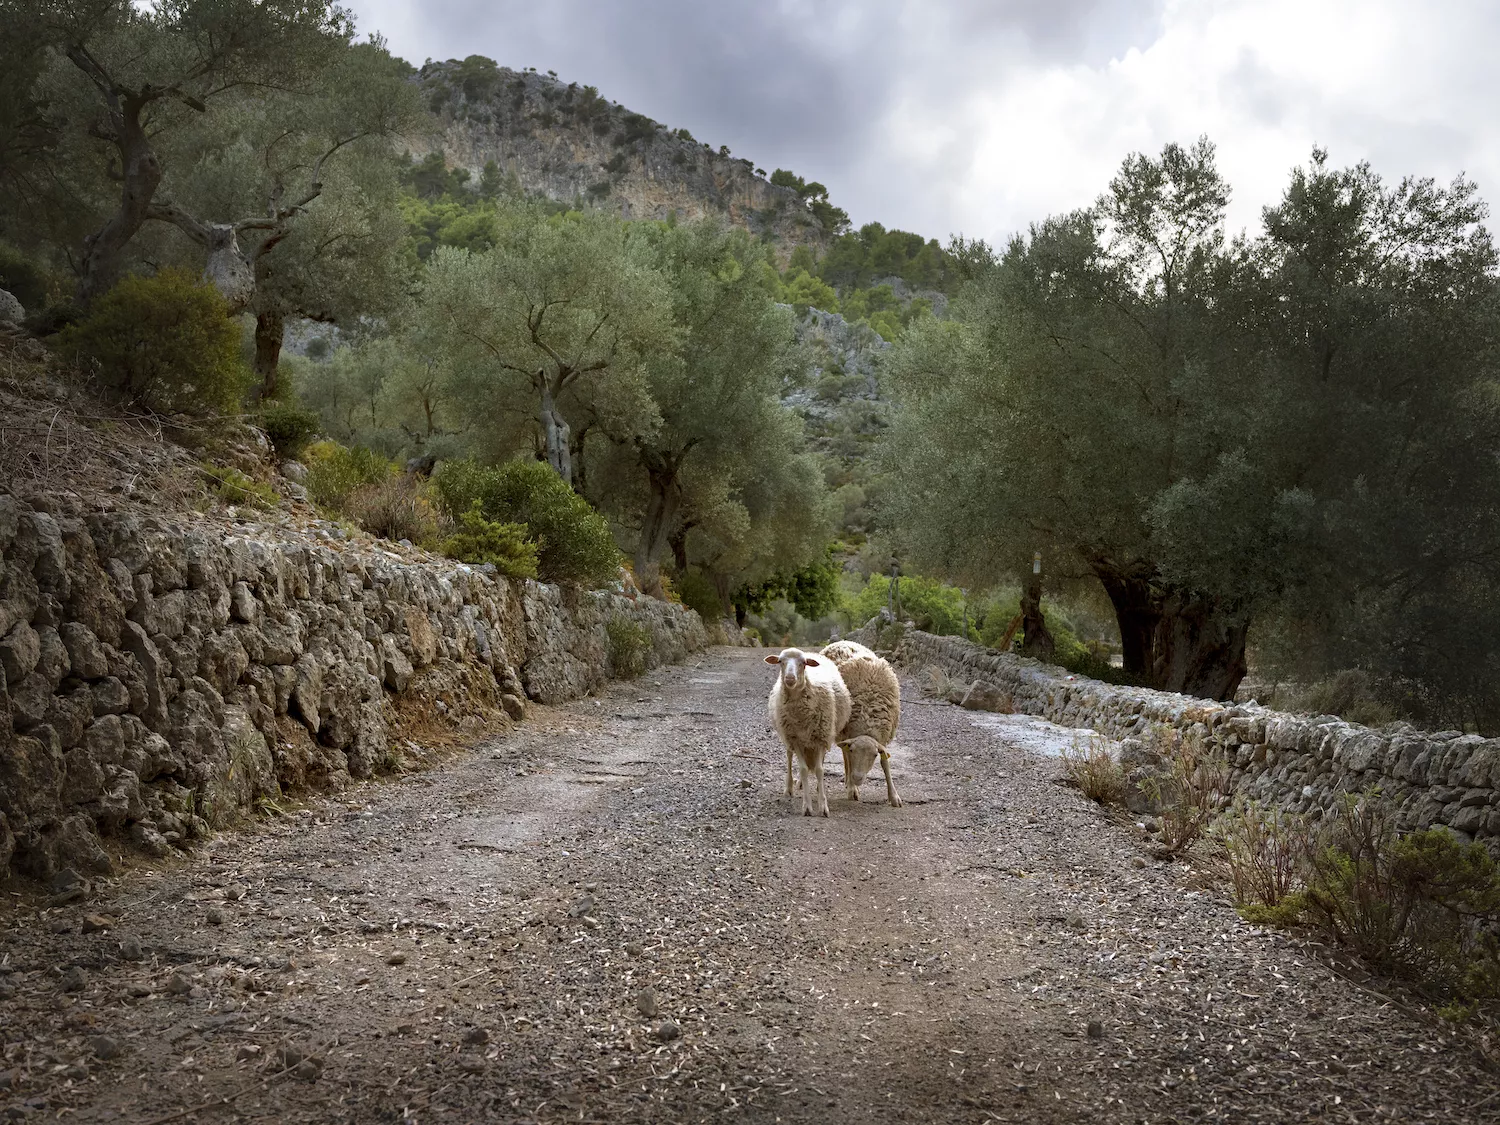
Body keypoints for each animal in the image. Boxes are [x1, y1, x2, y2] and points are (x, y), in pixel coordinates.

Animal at [768, 651, 852, 822]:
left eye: (804, 663)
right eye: (780, 661)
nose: (790, 678)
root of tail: (812, 653)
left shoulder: (820, 737)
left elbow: (820, 770)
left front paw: (823, 806)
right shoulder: (796, 740)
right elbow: (803, 769)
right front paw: (807, 807)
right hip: (788, 737)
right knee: (789, 756)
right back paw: (789, 788)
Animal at [822, 636, 900, 810]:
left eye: (874, 755)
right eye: (853, 751)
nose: (857, 778)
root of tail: (841, 641)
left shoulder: (882, 739)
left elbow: (885, 763)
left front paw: (894, 796)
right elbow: (848, 758)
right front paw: (852, 788)